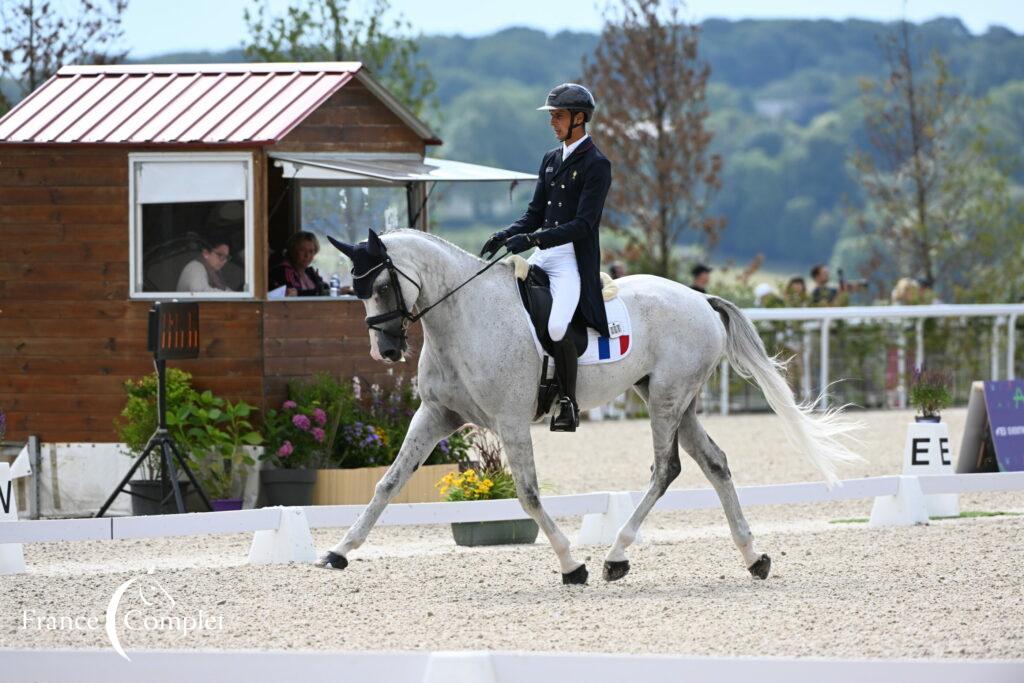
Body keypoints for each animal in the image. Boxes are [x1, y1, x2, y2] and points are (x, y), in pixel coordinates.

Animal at [315, 228, 860, 581]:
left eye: (381, 285)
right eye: (357, 290)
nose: (385, 351)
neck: (464, 316)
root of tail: (700, 299)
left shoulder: (511, 421)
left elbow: (529, 495)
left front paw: (571, 564)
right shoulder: (435, 415)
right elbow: (388, 482)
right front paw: (339, 551)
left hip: (666, 398)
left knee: (666, 469)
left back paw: (615, 557)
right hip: (671, 398)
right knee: (715, 464)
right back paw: (753, 557)